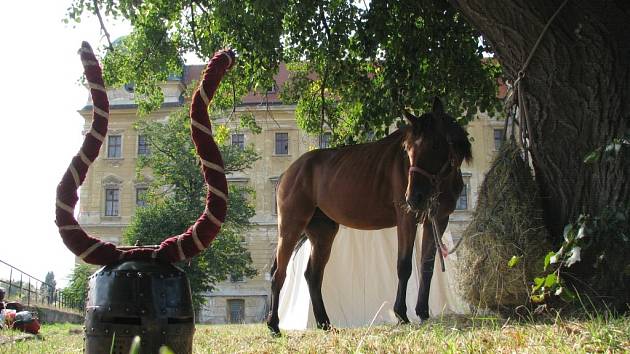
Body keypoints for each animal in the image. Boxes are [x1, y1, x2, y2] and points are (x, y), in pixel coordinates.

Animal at [264, 97, 472, 334]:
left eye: (436, 144)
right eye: (407, 148)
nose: (414, 198)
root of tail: (288, 172)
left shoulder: (437, 219)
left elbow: (427, 266)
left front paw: (423, 313)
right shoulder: (406, 219)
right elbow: (404, 265)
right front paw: (401, 314)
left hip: (322, 232)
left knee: (313, 275)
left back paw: (324, 323)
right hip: (291, 226)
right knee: (279, 272)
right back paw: (274, 324)